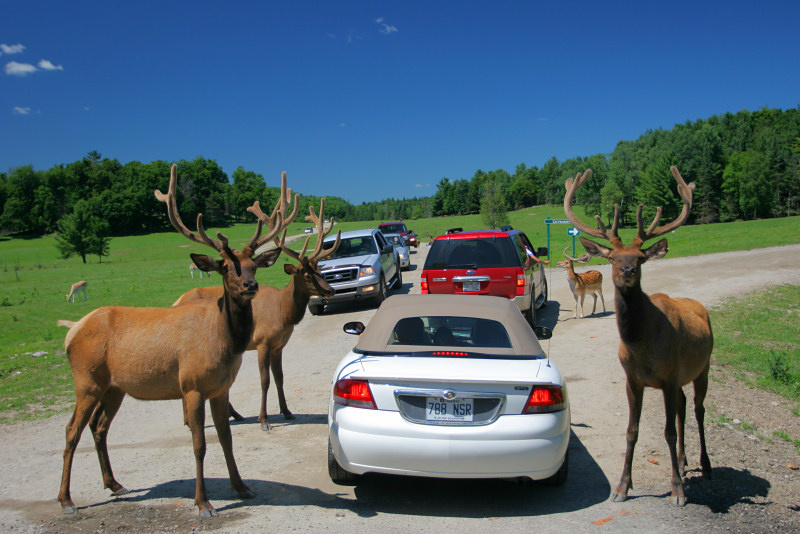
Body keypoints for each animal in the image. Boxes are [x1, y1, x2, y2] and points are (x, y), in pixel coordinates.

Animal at [57, 164, 297, 518]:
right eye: (226, 268)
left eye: (254, 266)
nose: (250, 285)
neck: (222, 343)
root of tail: (71, 331)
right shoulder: (192, 385)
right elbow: (199, 445)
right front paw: (203, 502)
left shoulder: (220, 388)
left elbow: (227, 438)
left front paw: (241, 487)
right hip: (86, 379)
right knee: (72, 430)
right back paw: (66, 500)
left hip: (114, 386)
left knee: (99, 426)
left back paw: (115, 484)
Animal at [173, 197, 341, 431]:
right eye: (307, 275)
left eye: (320, 271)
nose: (331, 290)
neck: (283, 312)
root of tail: (176, 301)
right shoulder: (262, 341)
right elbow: (265, 380)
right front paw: (264, 420)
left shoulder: (279, 345)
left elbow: (280, 377)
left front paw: (287, 411)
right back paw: (194, 420)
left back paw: (230, 415)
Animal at [564, 166, 713, 506]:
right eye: (613, 257)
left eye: (640, 257)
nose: (627, 270)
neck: (642, 346)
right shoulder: (633, 379)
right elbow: (631, 430)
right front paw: (622, 487)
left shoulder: (669, 377)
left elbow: (668, 431)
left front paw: (677, 491)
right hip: (681, 378)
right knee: (684, 406)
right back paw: (683, 460)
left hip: (703, 367)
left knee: (698, 410)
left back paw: (705, 465)